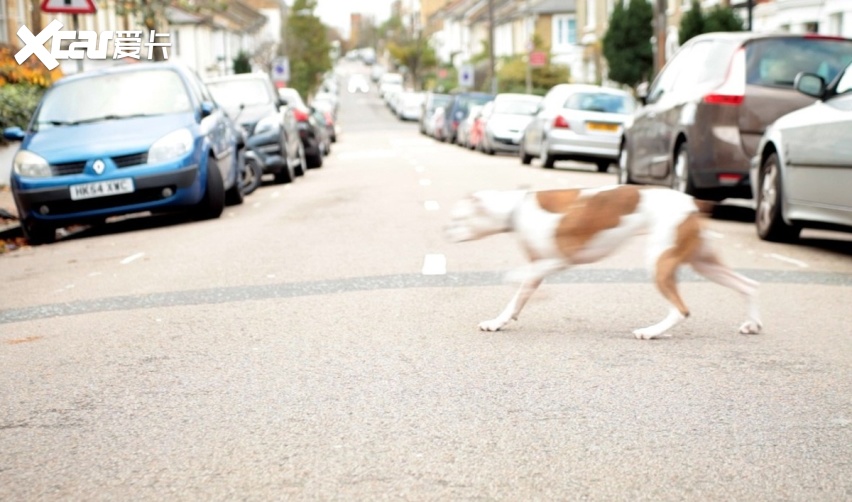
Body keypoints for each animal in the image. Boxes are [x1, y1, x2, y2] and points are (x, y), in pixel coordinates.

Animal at [450, 185, 764, 342]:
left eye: (459, 218)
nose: (446, 230)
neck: (517, 208)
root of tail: (693, 202)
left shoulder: (557, 261)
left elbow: (512, 279)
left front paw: (537, 297)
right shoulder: (541, 266)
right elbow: (515, 301)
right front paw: (498, 322)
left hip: (660, 261)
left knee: (680, 310)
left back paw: (651, 332)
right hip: (703, 262)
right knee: (748, 285)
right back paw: (753, 323)